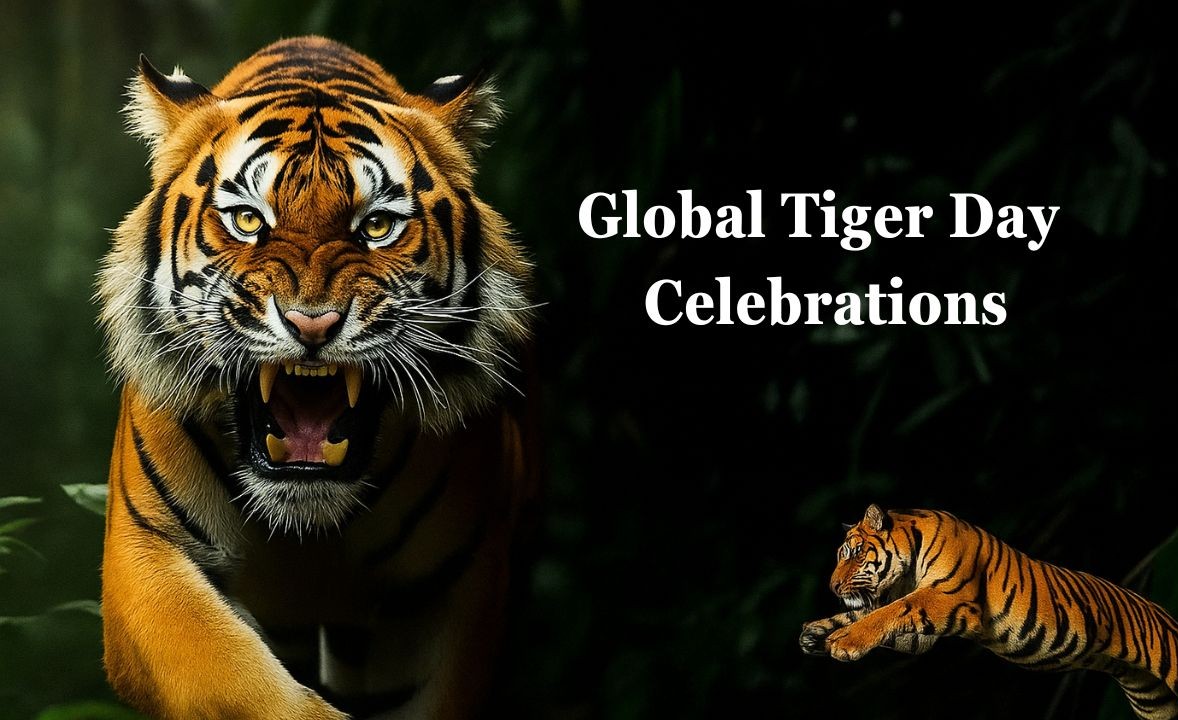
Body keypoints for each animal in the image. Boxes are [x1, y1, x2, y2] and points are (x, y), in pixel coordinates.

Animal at [95, 36, 537, 720]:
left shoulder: (455, 584)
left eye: (377, 226)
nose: (313, 322)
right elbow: (233, 682)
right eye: (248, 220)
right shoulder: (146, 554)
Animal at [799, 504, 1178, 719]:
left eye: (854, 553)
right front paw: (814, 633)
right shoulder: (921, 636)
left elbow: (889, 611)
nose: (832, 587)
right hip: (1154, 704)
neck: (906, 572)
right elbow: (874, 614)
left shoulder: (950, 600)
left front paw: (844, 642)